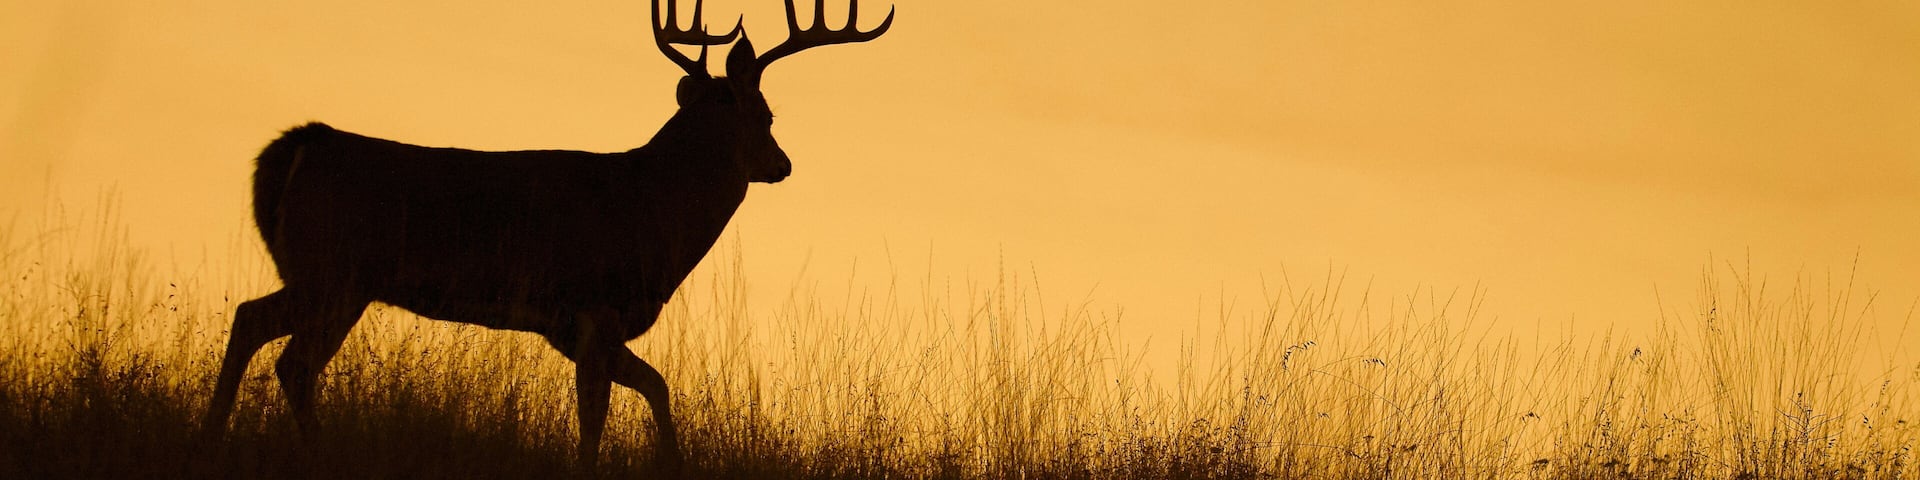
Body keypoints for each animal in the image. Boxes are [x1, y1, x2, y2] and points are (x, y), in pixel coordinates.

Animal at [200, 0, 892, 469]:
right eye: (768, 115)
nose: (783, 164)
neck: (654, 208)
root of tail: (297, 146)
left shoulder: (575, 327)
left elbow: (656, 386)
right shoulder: (594, 306)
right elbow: (594, 415)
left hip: (327, 278)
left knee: (258, 327)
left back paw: (214, 437)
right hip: (336, 273)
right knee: (287, 355)